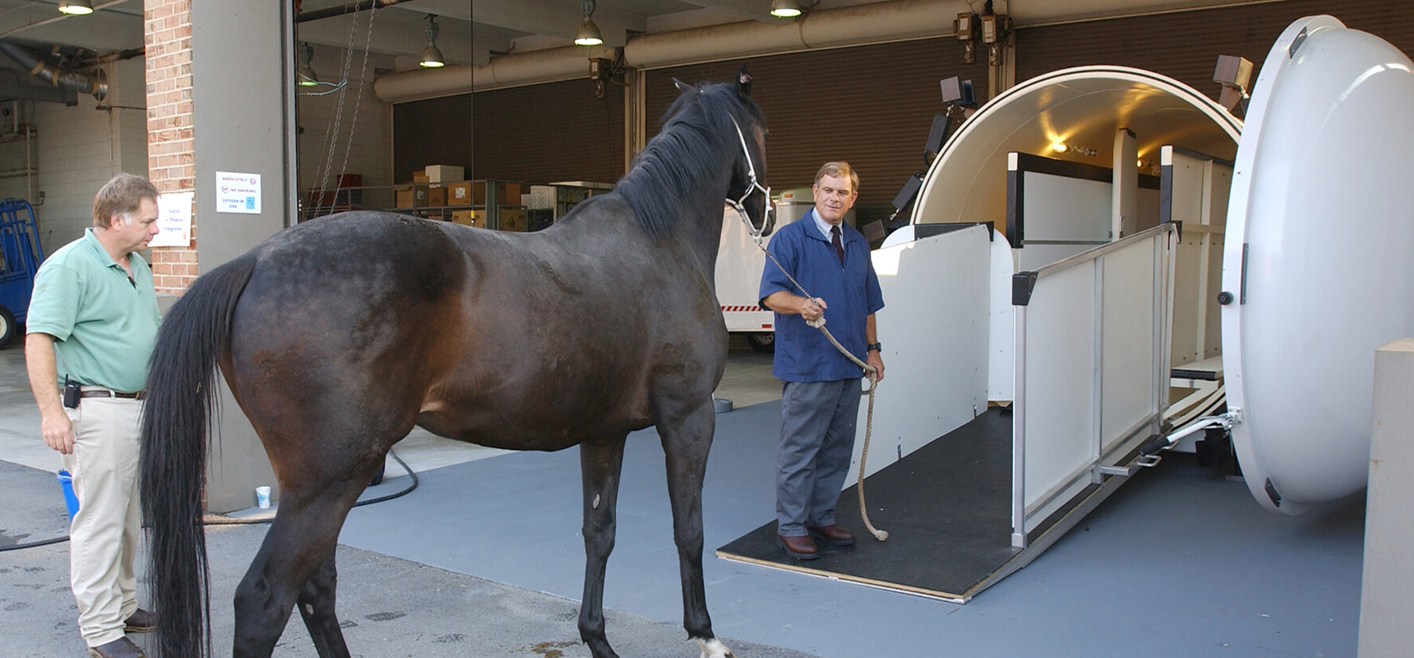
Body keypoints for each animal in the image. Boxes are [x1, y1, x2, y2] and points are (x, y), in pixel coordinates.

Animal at [139, 68, 769, 658]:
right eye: (761, 132)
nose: (765, 214)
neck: (658, 242)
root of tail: (252, 261)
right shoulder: (688, 417)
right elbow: (689, 528)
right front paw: (706, 634)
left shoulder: (604, 433)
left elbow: (600, 533)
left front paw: (598, 639)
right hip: (329, 480)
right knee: (268, 598)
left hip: (320, 485)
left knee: (316, 587)